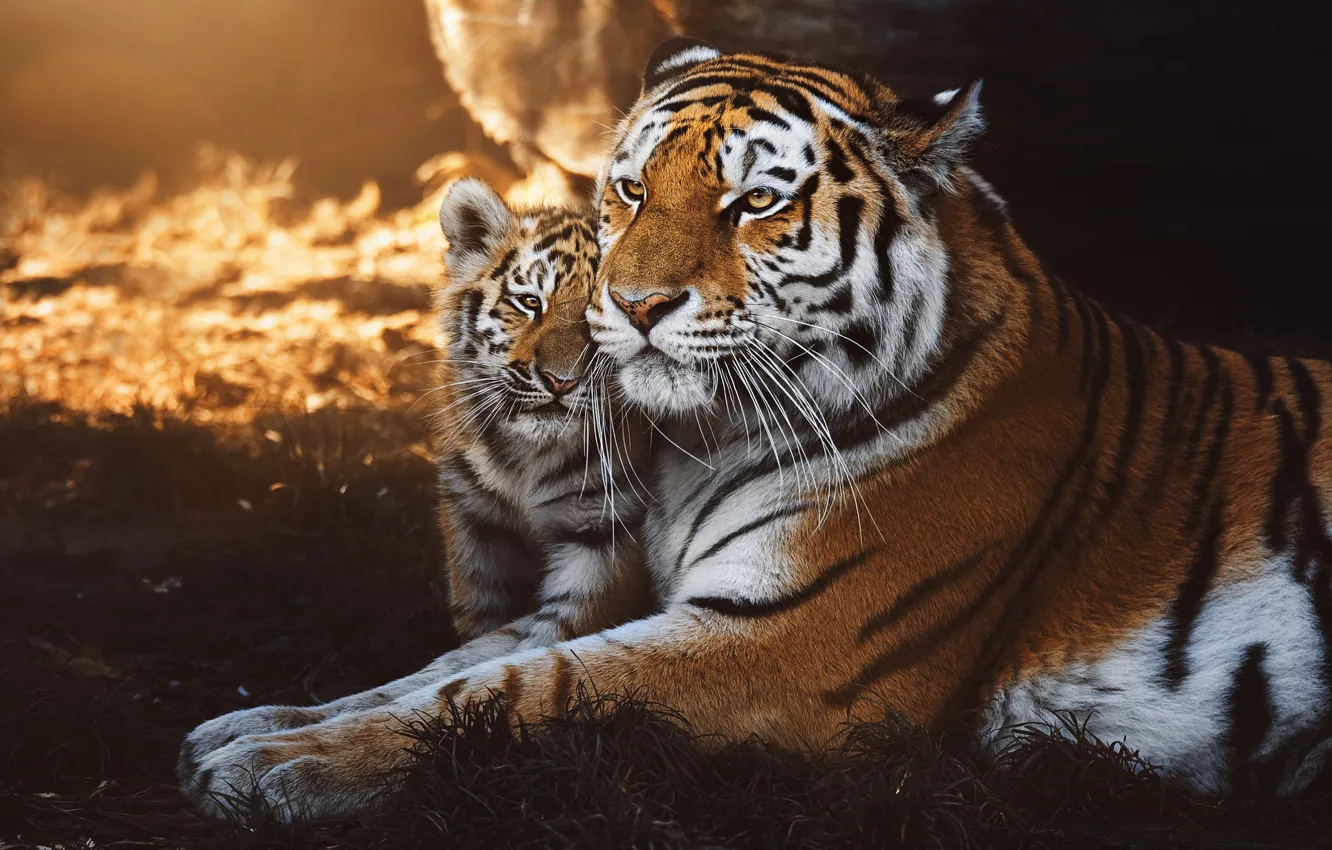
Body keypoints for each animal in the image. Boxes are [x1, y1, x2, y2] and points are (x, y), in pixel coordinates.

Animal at [176, 180, 652, 793]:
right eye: (530, 303)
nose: (560, 382)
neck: (525, 459)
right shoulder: (473, 522)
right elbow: (447, 666)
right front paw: (249, 727)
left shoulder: (602, 554)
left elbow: (486, 675)